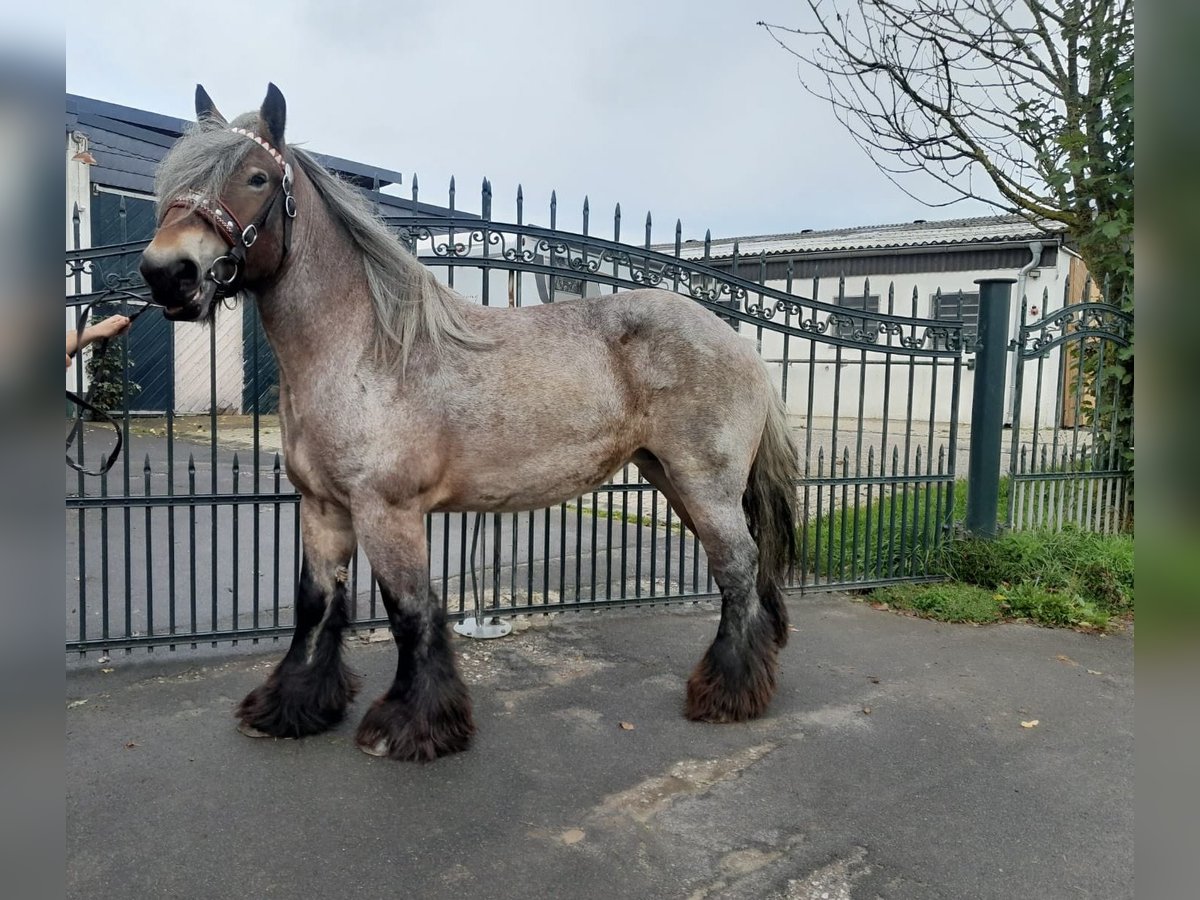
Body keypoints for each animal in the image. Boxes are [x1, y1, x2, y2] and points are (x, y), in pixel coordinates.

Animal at [136, 84, 801, 763]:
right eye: (173, 180)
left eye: (256, 177)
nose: (168, 272)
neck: (367, 348)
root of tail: (739, 342)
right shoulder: (323, 508)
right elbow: (315, 604)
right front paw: (290, 707)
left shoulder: (388, 511)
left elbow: (409, 611)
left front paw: (412, 725)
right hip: (673, 479)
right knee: (740, 569)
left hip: (704, 483)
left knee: (737, 568)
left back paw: (727, 694)